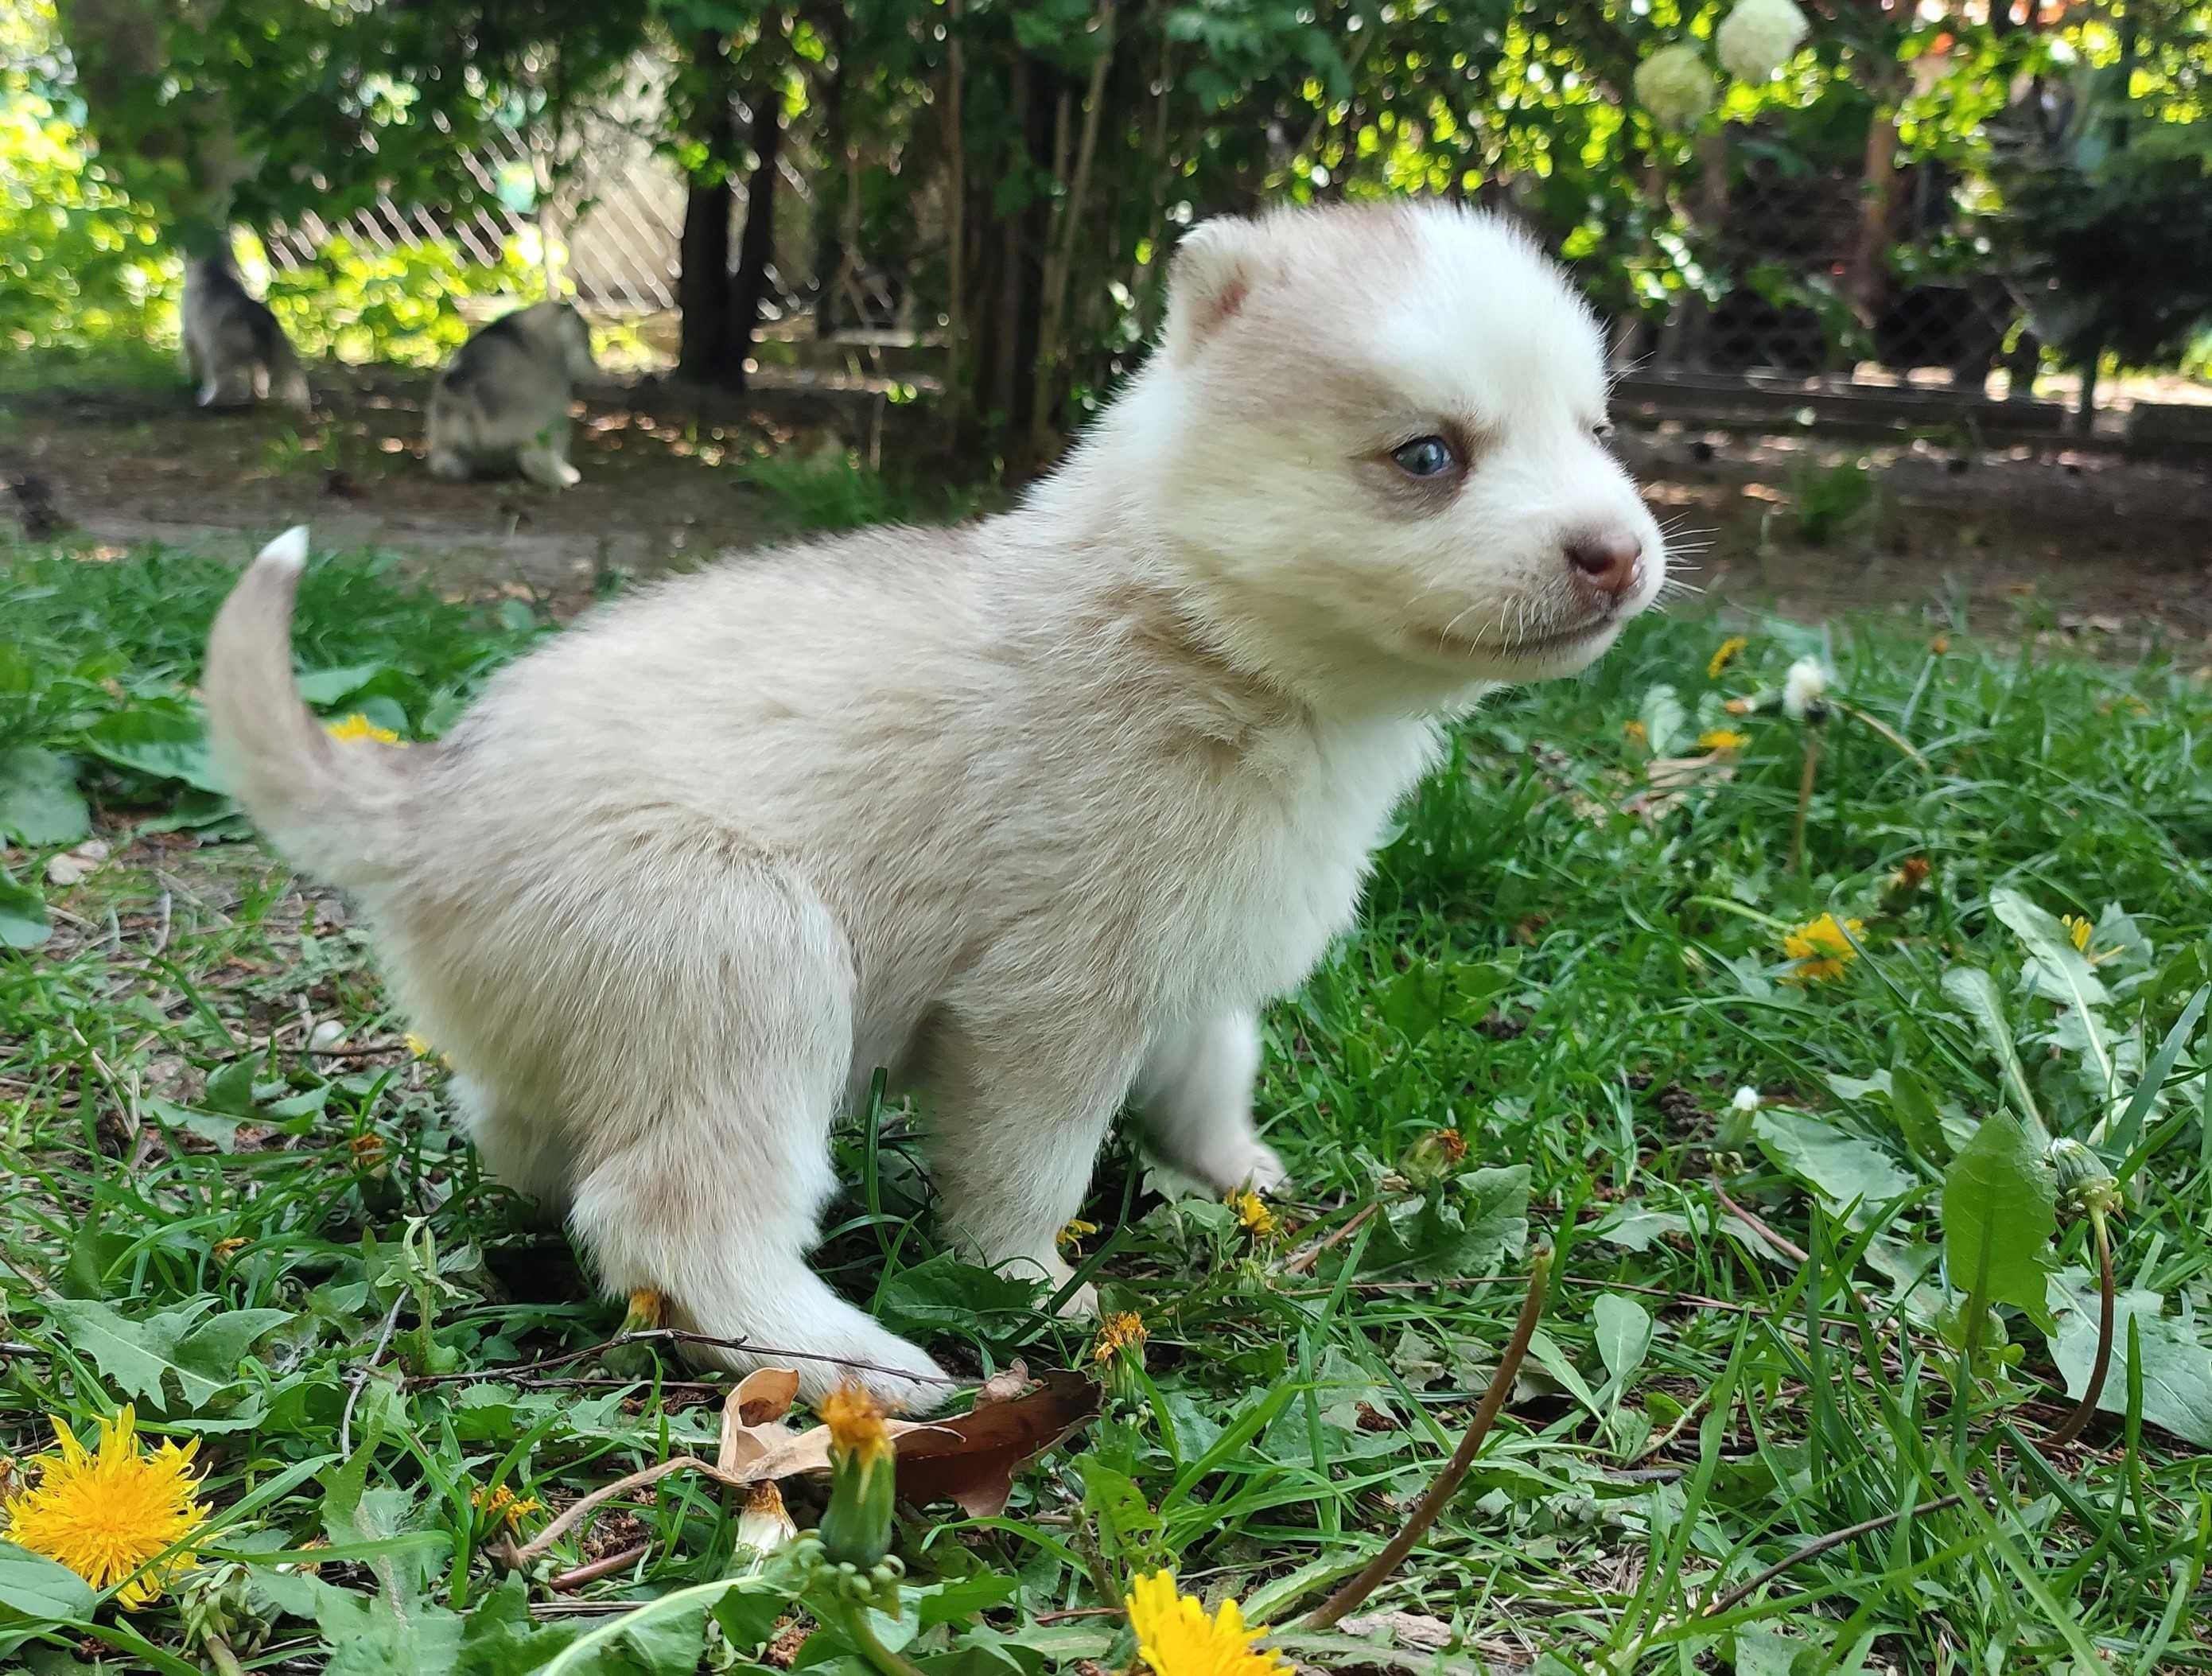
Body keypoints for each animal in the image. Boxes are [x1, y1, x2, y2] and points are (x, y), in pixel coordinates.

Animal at [181, 251, 312, 418]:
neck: (214, 271)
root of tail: (258, 317)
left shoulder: (190, 336)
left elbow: (192, 363)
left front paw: (192, 383)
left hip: (219, 352)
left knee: (223, 381)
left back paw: (208, 401)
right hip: (262, 358)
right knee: (260, 383)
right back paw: (255, 401)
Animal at [420, 302, 597, 488]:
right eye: (587, 343)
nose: (595, 363)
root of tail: (463, 389)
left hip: (444, 443)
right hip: (544, 417)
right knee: (533, 458)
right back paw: (563, 477)